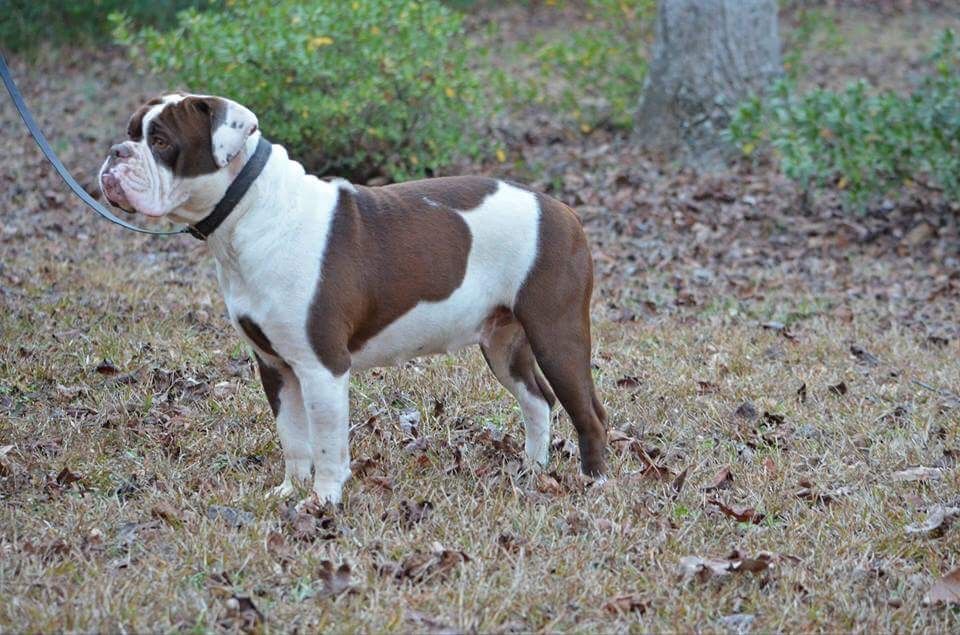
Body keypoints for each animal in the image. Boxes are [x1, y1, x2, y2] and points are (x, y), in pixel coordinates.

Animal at [99, 94, 607, 504]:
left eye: (160, 141)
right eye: (130, 132)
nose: (115, 153)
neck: (250, 210)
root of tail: (562, 210)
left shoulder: (322, 367)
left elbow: (326, 442)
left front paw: (323, 500)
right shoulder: (275, 366)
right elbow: (293, 437)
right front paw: (290, 490)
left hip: (557, 335)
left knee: (589, 413)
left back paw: (594, 483)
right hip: (504, 345)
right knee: (537, 401)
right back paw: (533, 471)